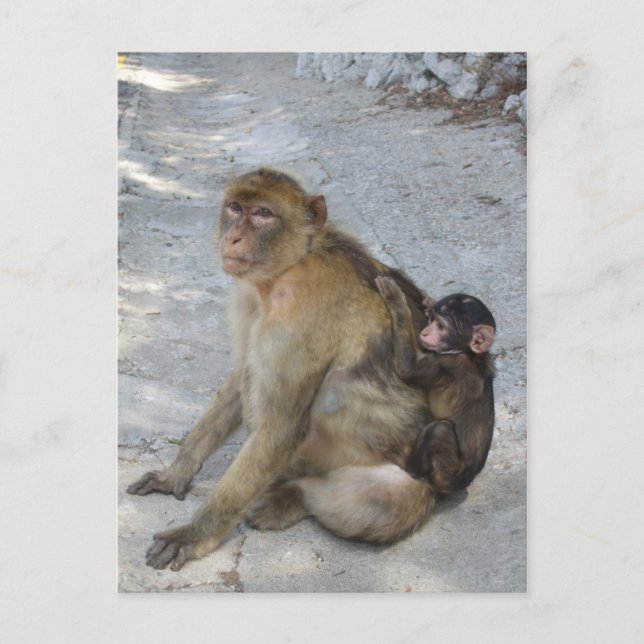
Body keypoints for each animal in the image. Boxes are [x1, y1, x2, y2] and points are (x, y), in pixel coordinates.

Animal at [127, 168, 437, 571]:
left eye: (263, 213)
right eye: (236, 207)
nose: (233, 237)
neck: (287, 269)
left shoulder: (299, 319)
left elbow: (281, 425)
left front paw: (196, 533)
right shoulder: (250, 301)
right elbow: (239, 376)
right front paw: (177, 471)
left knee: (385, 503)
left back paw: (295, 498)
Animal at [374, 276, 496, 495]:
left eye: (441, 326)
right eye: (432, 321)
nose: (426, 331)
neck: (467, 353)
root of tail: (462, 482)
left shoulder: (448, 363)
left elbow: (408, 368)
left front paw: (395, 297)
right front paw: (428, 303)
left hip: (446, 469)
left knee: (439, 430)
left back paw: (407, 463)